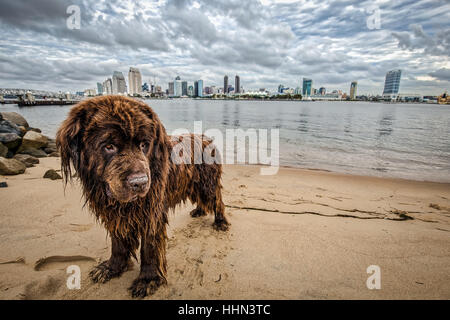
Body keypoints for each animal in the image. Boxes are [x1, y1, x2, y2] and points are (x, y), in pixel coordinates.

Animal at [56, 95, 230, 298]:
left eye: (144, 144)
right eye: (109, 146)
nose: (139, 182)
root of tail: (207, 138)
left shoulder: (151, 212)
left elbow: (150, 249)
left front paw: (148, 280)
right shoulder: (114, 215)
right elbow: (118, 243)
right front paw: (111, 267)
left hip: (207, 183)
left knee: (217, 201)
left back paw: (220, 222)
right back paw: (199, 211)